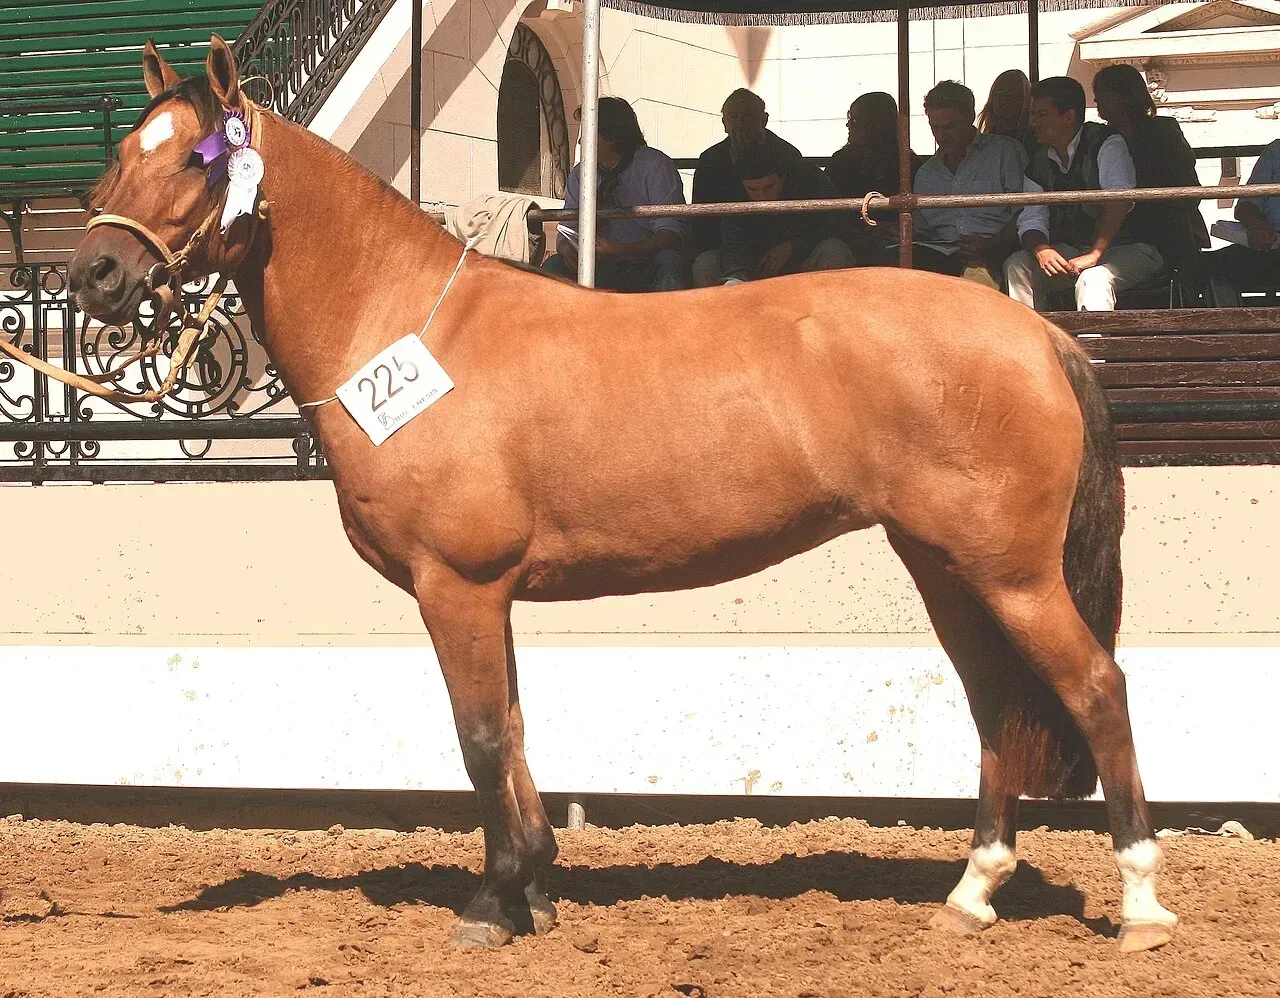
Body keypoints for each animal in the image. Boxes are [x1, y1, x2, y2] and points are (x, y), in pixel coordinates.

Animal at [67, 36, 1177, 954]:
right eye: (125, 150)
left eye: (192, 159)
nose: (95, 276)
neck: (408, 327)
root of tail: (1035, 329)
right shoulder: (490, 595)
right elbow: (513, 729)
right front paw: (535, 891)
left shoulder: (456, 585)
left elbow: (479, 737)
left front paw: (490, 905)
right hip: (948, 568)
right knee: (995, 707)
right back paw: (971, 892)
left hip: (1012, 573)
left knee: (1097, 687)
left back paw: (1138, 905)